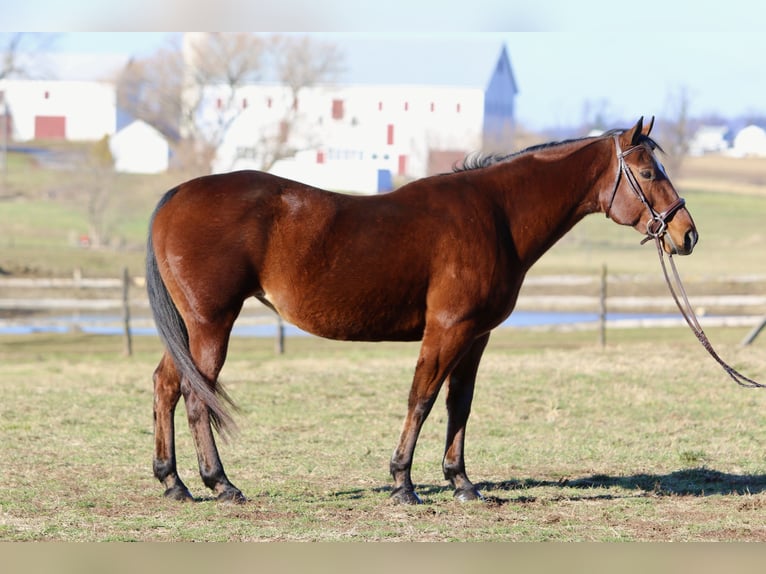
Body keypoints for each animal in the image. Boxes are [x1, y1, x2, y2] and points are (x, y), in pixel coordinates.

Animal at [147, 119, 700, 506]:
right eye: (648, 172)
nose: (686, 233)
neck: (495, 214)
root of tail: (177, 195)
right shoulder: (447, 330)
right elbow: (422, 400)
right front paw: (403, 483)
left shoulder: (475, 337)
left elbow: (460, 405)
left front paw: (462, 483)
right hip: (211, 325)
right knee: (195, 397)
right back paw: (220, 484)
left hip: (194, 329)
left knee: (166, 386)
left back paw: (174, 482)